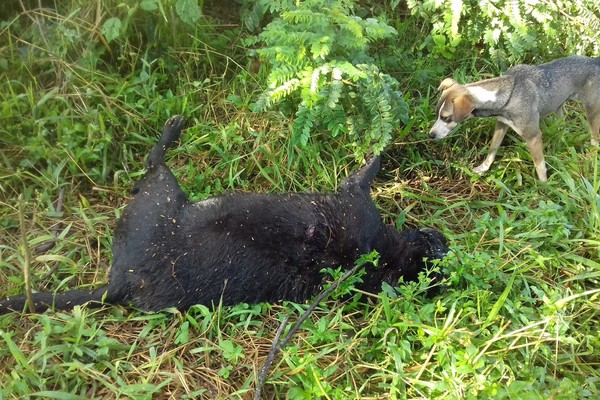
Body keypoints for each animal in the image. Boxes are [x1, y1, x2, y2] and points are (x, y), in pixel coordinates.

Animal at [0, 115, 448, 312]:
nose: (444, 242)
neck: (378, 258)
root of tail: (119, 281)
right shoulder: (354, 196)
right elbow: (373, 162)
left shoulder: (353, 198)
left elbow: (369, 166)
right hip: (164, 192)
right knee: (152, 160)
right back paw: (175, 125)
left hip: (163, 195)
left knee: (152, 162)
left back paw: (174, 126)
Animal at [428, 55, 596, 181]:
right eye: (436, 114)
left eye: (446, 118)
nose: (430, 135)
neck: (505, 94)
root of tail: (595, 61)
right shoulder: (501, 124)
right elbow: (492, 149)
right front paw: (483, 168)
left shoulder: (533, 136)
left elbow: (539, 165)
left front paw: (544, 187)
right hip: (559, 106)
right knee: (563, 123)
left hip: (592, 111)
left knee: (595, 138)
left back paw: (591, 157)